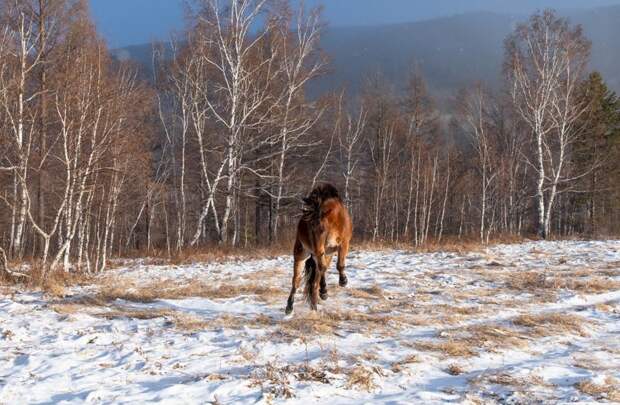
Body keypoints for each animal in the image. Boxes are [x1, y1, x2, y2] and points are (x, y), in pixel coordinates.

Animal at [284, 181, 352, 314]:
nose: (315, 248)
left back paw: (309, 305)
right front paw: (342, 281)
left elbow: (336, 266)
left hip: (321, 252)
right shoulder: (328, 248)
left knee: (311, 279)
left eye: (322, 229)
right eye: (310, 229)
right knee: (301, 280)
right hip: (304, 253)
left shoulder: (339, 246)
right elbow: (330, 267)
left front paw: (339, 282)